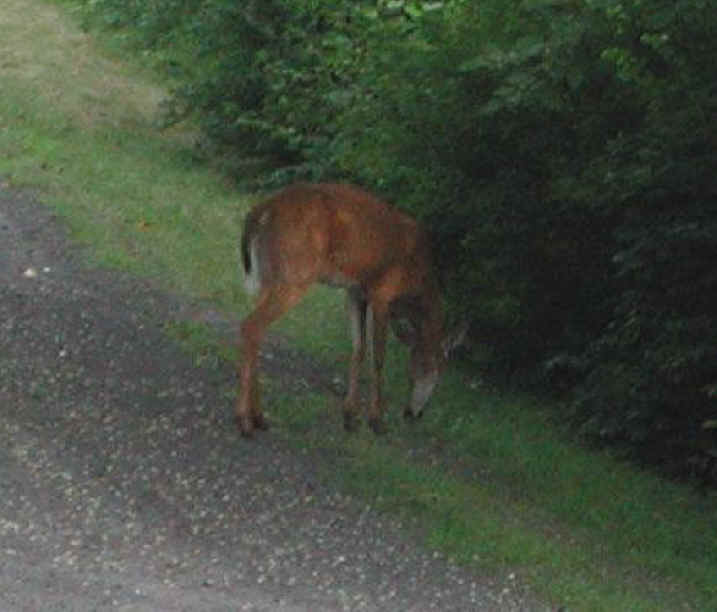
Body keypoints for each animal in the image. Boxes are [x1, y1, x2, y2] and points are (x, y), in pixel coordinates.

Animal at [236, 182, 456, 437]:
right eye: (426, 369)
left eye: (436, 371)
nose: (412, 413)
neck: (417, 281)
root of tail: (261, 211)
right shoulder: (382, 293)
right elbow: (378, 358)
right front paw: (376, 420)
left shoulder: (355, 292)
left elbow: (358, 349)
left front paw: (350, 416)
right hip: (296, 273)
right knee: (251, 325)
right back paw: (244, 422)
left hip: (268, 274)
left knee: (257, 329)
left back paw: (259, 417)